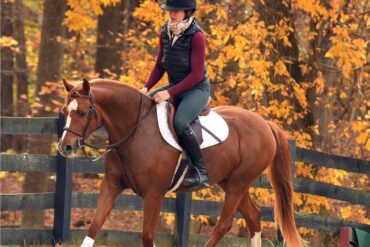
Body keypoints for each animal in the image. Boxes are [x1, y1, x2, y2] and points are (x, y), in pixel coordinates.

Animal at [57, 78, 300, 247]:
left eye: (82, 112)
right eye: (65, 111)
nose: (65, 147)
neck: (135, 131)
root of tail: (265, 124)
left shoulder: (154, 195)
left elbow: (147, 236)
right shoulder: (111, 185)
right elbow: (94, 226)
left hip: (238, 184)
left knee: (224, 224)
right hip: (231, 183)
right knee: (253, 217)